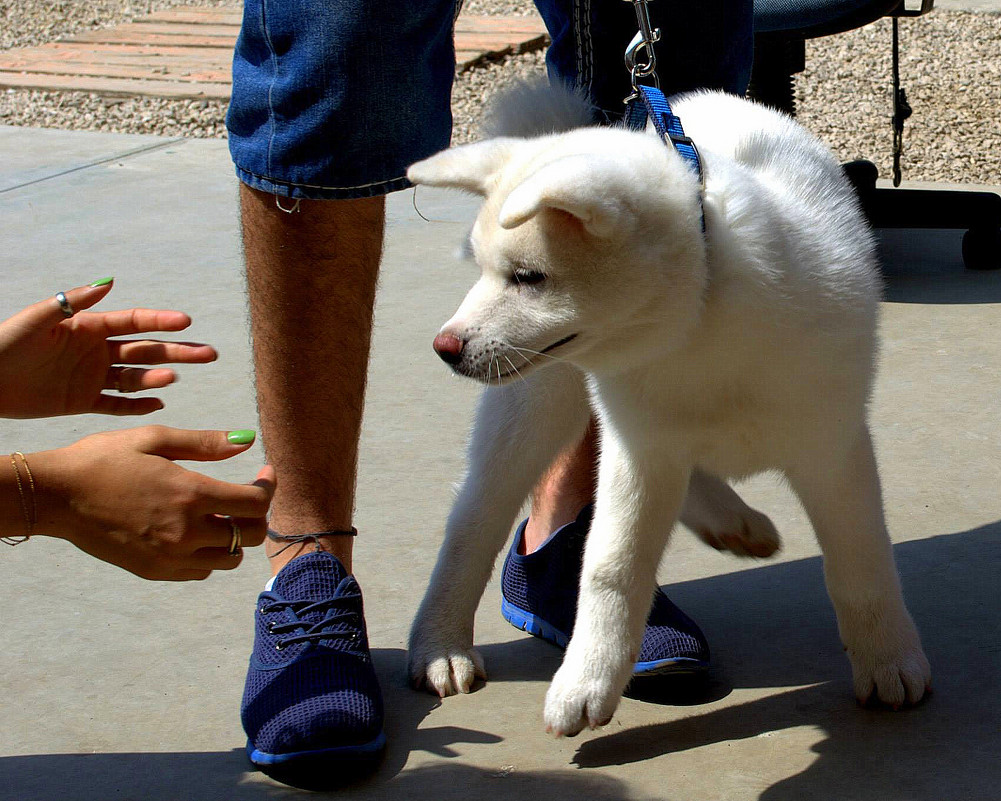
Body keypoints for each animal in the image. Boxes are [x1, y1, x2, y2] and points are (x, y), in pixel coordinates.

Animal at [404, 84, 928, 736]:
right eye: (483, 270)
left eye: (528, 277)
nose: (444, 347)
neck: (699, 318)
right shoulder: (640, 452)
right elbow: (611, 568)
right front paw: (587, 682)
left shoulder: (832, 447)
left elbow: (863, 565)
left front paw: (888, 659)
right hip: (534, 407)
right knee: (473, 521)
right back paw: (440, 643)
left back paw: (732, 519)